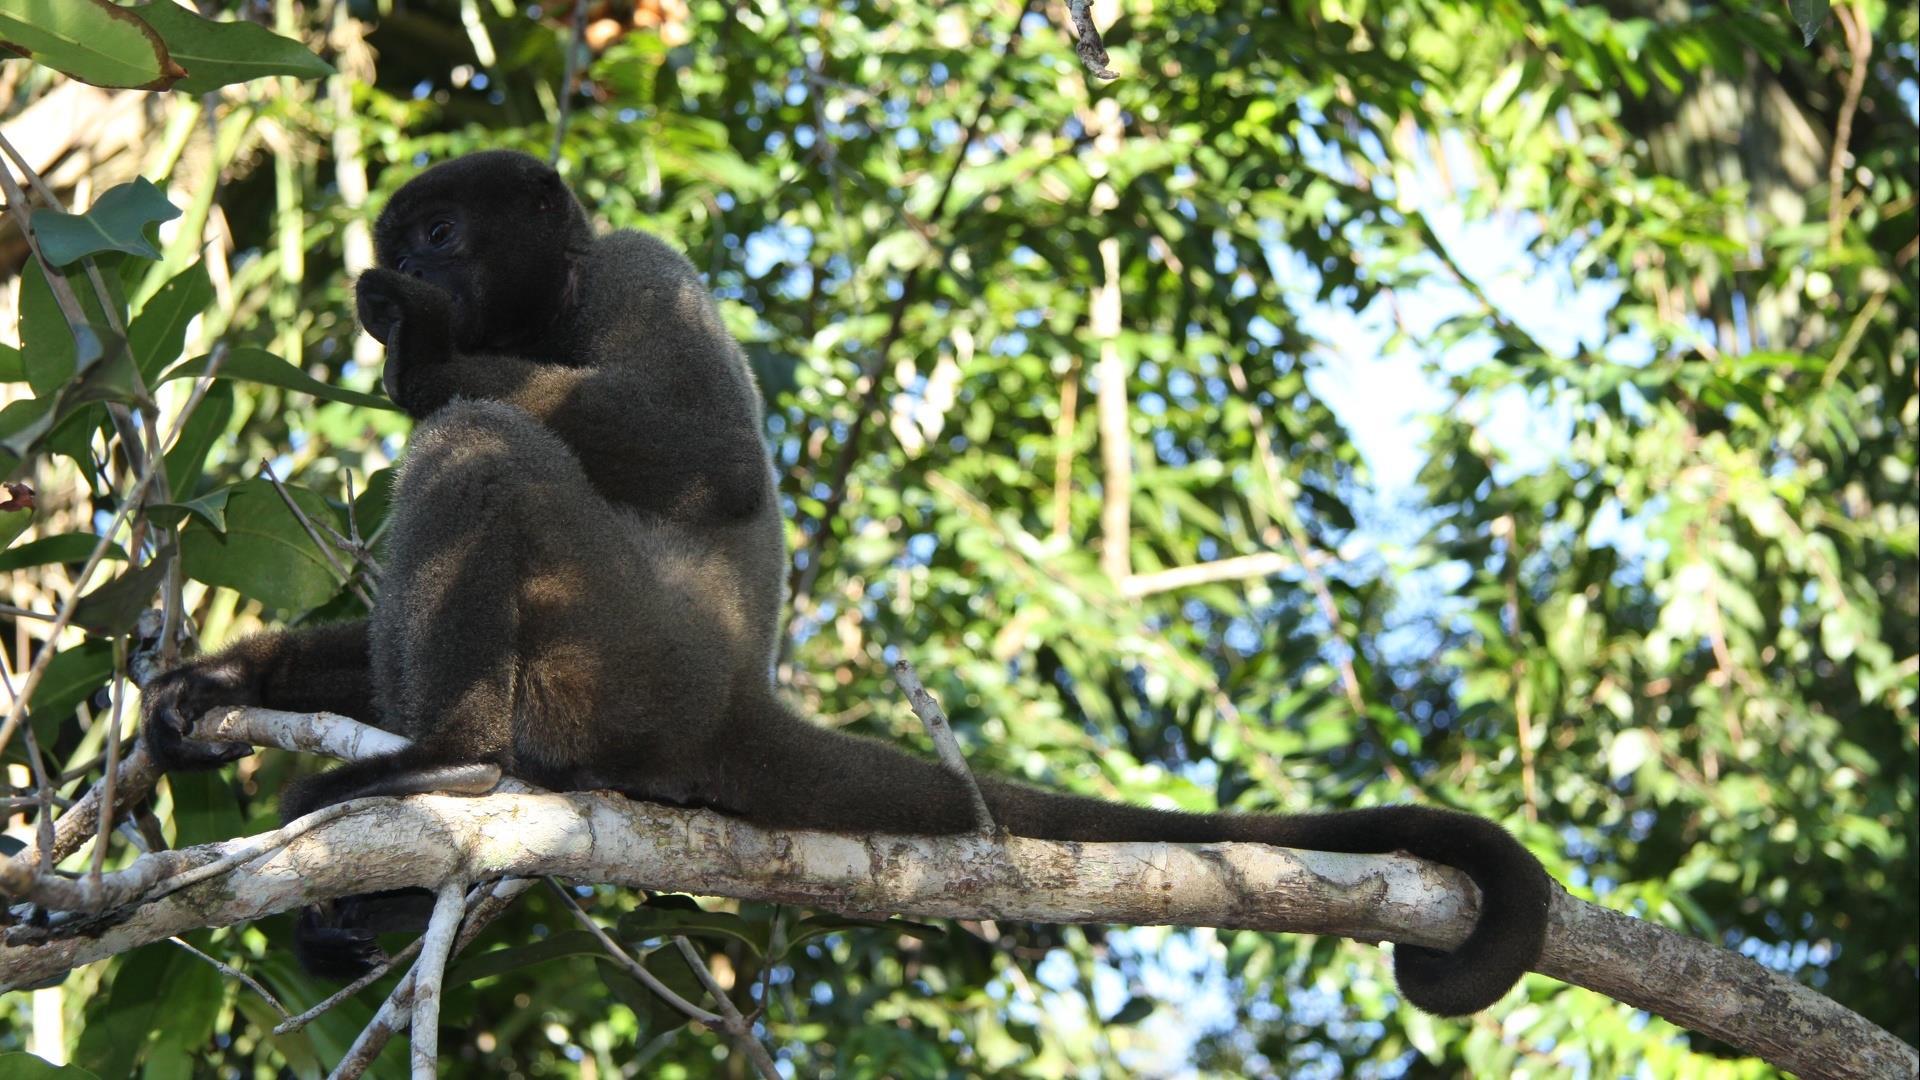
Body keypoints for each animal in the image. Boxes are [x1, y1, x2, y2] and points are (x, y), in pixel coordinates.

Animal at [135, 147, 1551, 1014]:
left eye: (439, 231)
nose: (416, 272)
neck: (547, 301)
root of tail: (730, 701)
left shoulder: (646, 266)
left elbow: (706, 447)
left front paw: (422, 348)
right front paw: (219, 679)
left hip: (623, 655)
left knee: (477, 443)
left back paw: (453, 759)